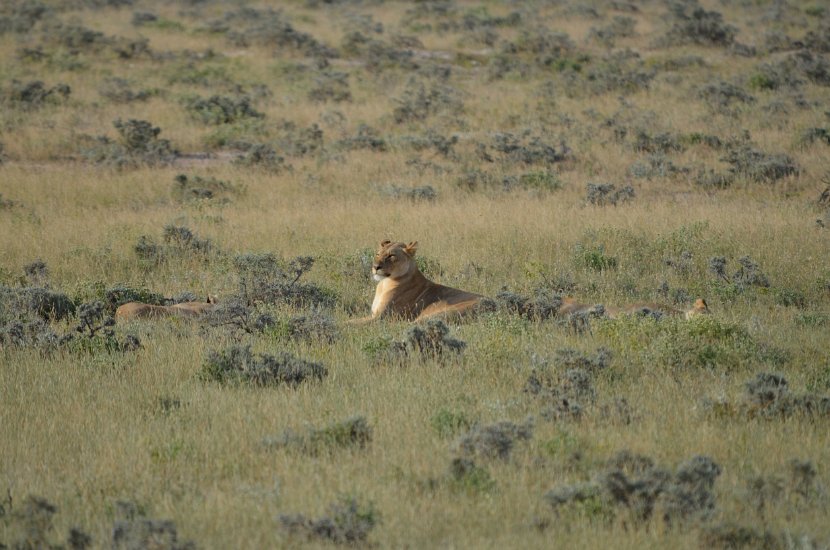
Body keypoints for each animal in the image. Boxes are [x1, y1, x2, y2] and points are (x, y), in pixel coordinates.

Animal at [353, 240, 485, 323]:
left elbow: (353, 323)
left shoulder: (381, 317)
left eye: (392, 256)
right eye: (378, 254)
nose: (375, 267)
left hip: (440, 313)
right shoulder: (374, 315)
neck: (384, 284)